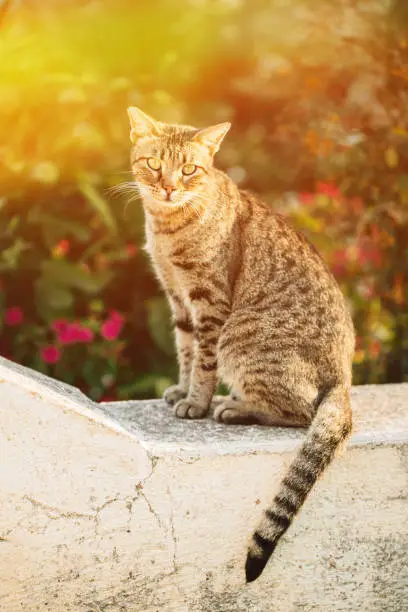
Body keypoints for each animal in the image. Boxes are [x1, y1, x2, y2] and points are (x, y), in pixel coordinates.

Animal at [126, 105, 354, 584]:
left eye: (189, 169)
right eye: (154, 164)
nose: (168, 187)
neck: (167, 227)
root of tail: (344, 377)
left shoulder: (210, 304)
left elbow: (204, 361)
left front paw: (196, 402)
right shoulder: (178, 299)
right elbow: (186, 351)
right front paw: (181, 390)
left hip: (242, 338)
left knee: (300, 412)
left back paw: (235, 407)